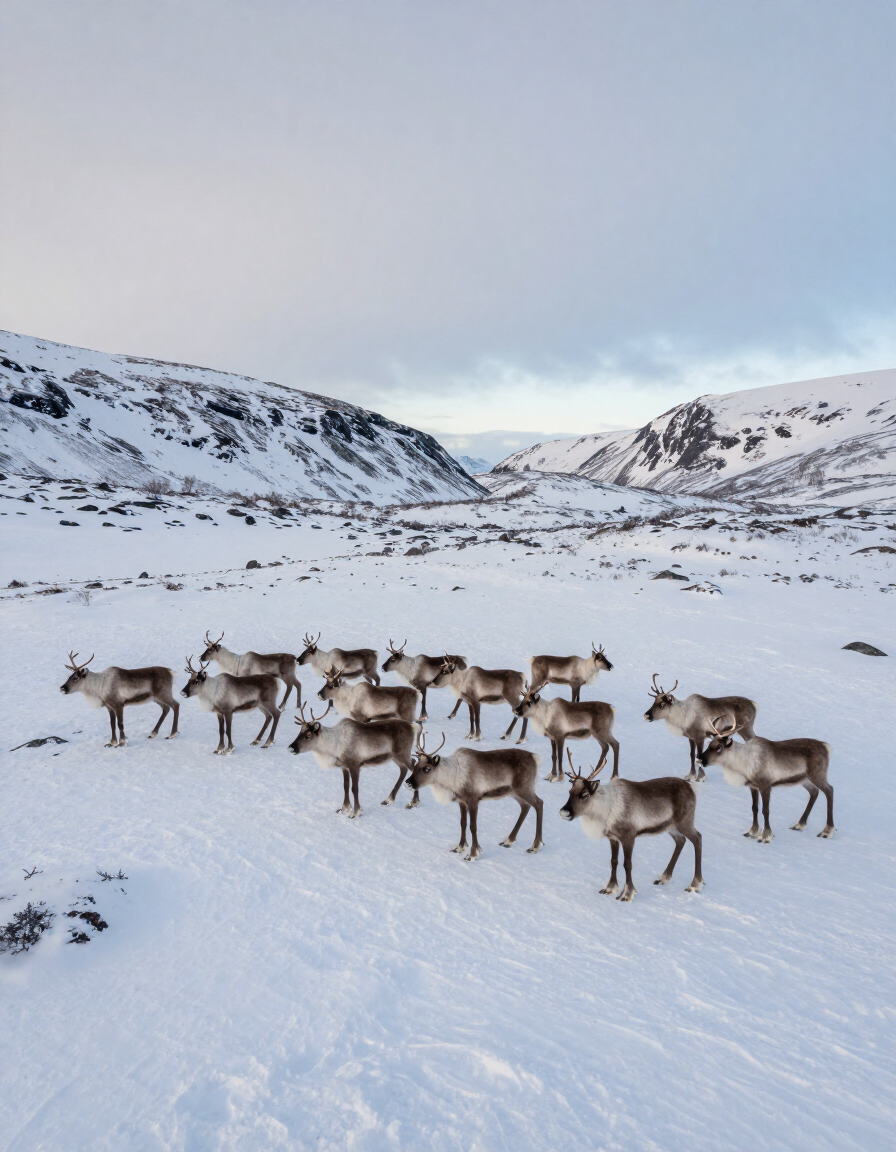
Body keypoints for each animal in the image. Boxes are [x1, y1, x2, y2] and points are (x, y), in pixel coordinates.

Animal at [288, 703, 418, 815]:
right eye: (299, 732)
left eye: (308, 736)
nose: (291, 748)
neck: (334, 747)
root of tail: (412, 726)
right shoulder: (344, 767)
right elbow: (345, 786)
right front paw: (344, 808)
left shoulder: (355, 765)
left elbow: (354, 788)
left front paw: (355, 812)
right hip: (395, 757)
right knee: (404, 769)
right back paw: (389, 799)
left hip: (402, 754)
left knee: (414, 766)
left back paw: (414, 802)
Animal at [405, 732, 544, 859]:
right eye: (416, 765)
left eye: (427, 768)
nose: (408, 782)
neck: (452, 777)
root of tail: (535, 757)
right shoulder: (462, 801)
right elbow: (463, 823)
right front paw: (459, 847)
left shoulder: (473, 800)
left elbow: (473, 826)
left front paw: (473, 853)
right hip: (514, 792)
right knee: (525, 806)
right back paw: (508, 841)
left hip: (524, 789)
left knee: (539, 803)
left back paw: (535, 846)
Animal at [560, 751, 704, 902]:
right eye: (570, 792)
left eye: (584, 794)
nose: (564, 812)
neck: (604, 811)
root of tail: (691, 788)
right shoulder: (613, 838)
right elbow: (614, 861)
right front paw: (609, 888)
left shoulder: (628, 837)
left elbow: (627, 864)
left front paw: (627, 894)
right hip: (670, 826)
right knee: (680, 840)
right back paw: (663, 878)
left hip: (685, 822)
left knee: (697, 838)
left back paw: (694, 885)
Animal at [700, 718, 834, 842]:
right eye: (709, 744)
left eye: (718, 747)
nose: (700, 759)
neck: (742, 764)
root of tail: (826, 747)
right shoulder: (753, 786)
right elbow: (754, 808)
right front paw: (752, 832)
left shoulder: (766, 786)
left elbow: (766, 810)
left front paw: (766, 836)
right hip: (804, 780)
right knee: (814, 792)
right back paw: (799, 825)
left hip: (817, 775)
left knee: (829, 790)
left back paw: (827, 831)